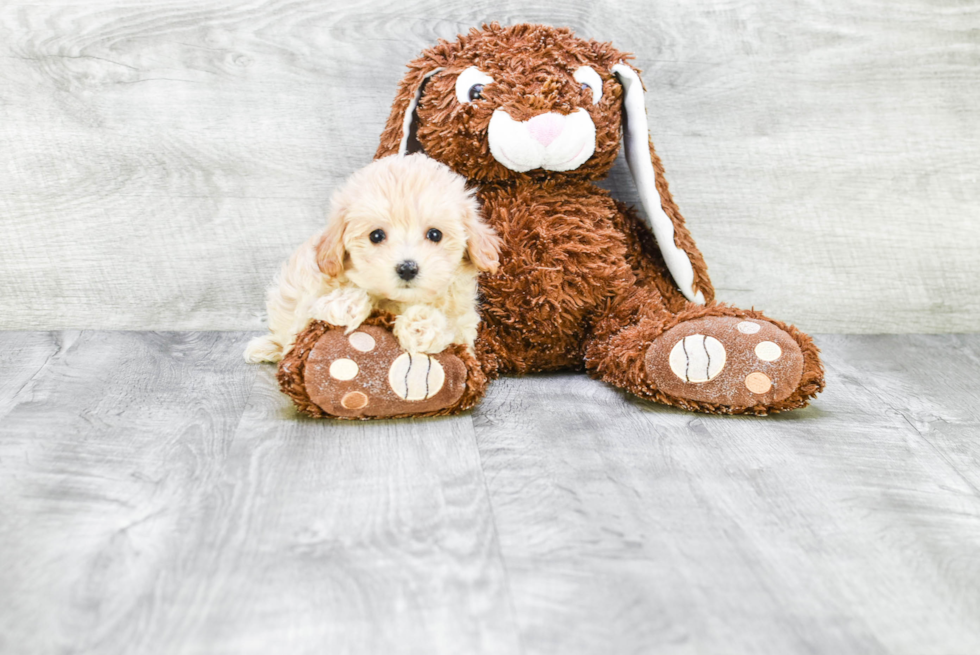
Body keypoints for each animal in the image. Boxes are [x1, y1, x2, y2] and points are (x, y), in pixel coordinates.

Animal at [242, 156, 502, 366]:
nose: (407, 268)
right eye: (376, 236)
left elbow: (450, 326)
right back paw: (264, 347)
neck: (396, 301)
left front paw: (421, 326)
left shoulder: (463, 323)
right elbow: (310, 317)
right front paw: (346, 304)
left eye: (435, 234)